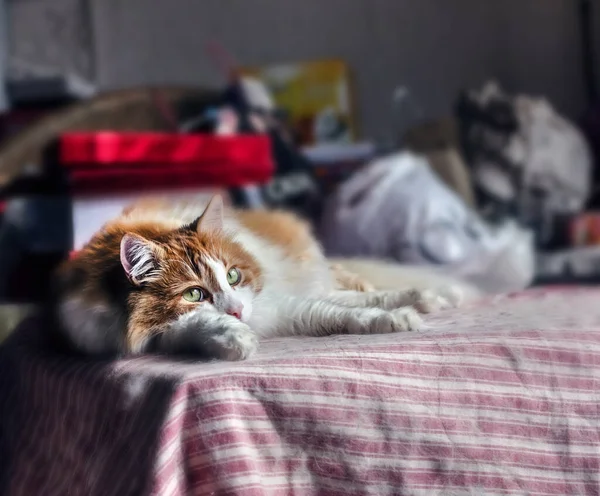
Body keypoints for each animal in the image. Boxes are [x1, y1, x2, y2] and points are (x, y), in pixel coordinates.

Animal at [54, 195, 462, 360]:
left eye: (233, 276)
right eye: (194, 295)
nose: (237, 311)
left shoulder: (278, 306)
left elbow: (345, 313)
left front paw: (396, 319)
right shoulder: (120, 335)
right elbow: (187, 327)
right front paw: (232, 338)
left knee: (353, 290)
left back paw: (430, 298)